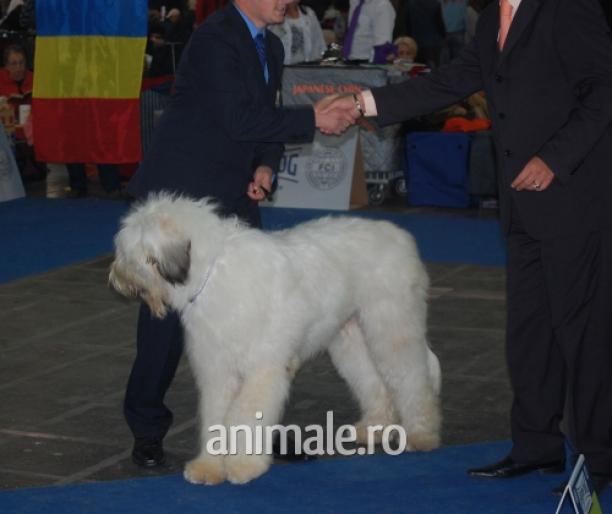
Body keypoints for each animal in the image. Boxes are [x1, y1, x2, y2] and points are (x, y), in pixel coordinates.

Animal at [110, 192, 442, 484]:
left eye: (128, 252)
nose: (115, 279)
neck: (212, 274)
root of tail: (398, 233)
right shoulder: (218, 370)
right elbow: (216, 417)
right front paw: (208, 467)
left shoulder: (262, 370)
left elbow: (245, 416)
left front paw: (242, 466)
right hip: (351, 339)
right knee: (374, 382)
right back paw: (373, 429)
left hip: (393, 328)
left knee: (413, 379)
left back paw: (422, 434)